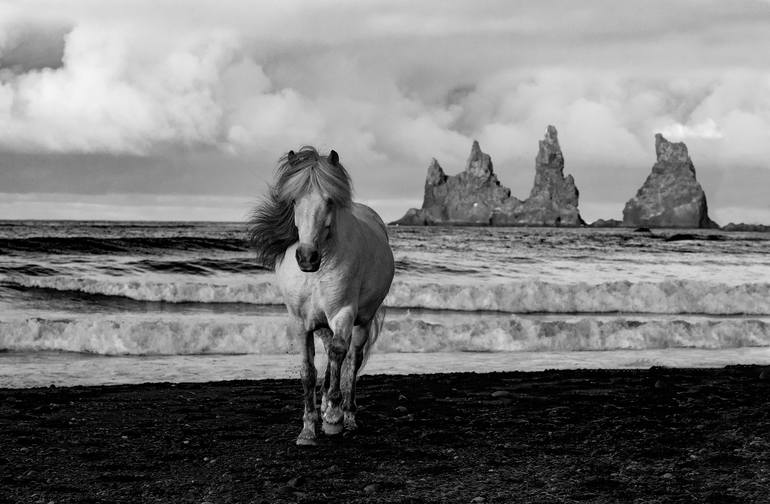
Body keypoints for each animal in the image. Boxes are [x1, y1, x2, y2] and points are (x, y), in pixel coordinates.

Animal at [250, 146, 396, 444]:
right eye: (294, 200)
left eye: (329, 201)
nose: (307, 257)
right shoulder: (300, 321)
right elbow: (308, 371)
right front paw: (308, 429)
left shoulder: (343, 313)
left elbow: (340, 354)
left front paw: (333, 419)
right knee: (330, 353)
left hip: (363, 322)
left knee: (351, 360)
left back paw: (347, 414)